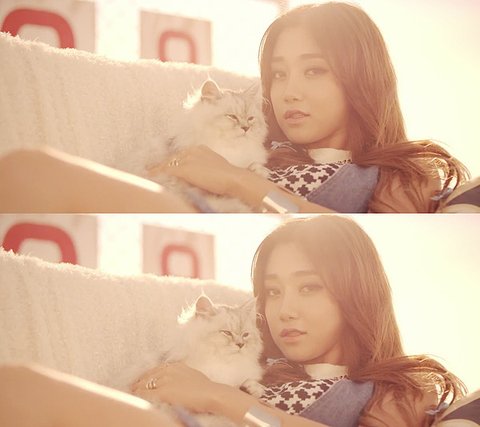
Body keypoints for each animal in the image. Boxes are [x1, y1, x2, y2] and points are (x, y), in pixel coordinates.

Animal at [115, 294, 265, 427]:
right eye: (226, 333)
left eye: (245, 335)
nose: (241, 345)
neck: (224, 365)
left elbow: (247, 383)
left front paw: (256, 390)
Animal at [120, 78, 269, 212]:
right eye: (232, 117)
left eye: (250, 119)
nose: (246, 128)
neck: (230, 151)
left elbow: (253, 168)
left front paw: (259, 171)